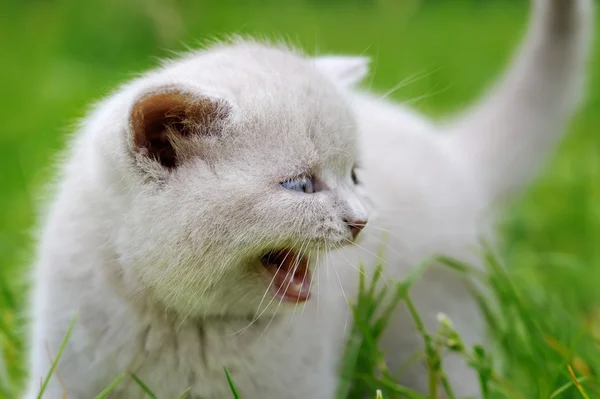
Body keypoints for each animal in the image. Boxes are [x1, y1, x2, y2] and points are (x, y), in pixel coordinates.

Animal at [23, 0, 592, 399]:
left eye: (356, 176)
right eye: (300, 186)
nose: (362, 220)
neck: (184, 325)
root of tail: (448, 149)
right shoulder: (67, 370)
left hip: (430, 324)